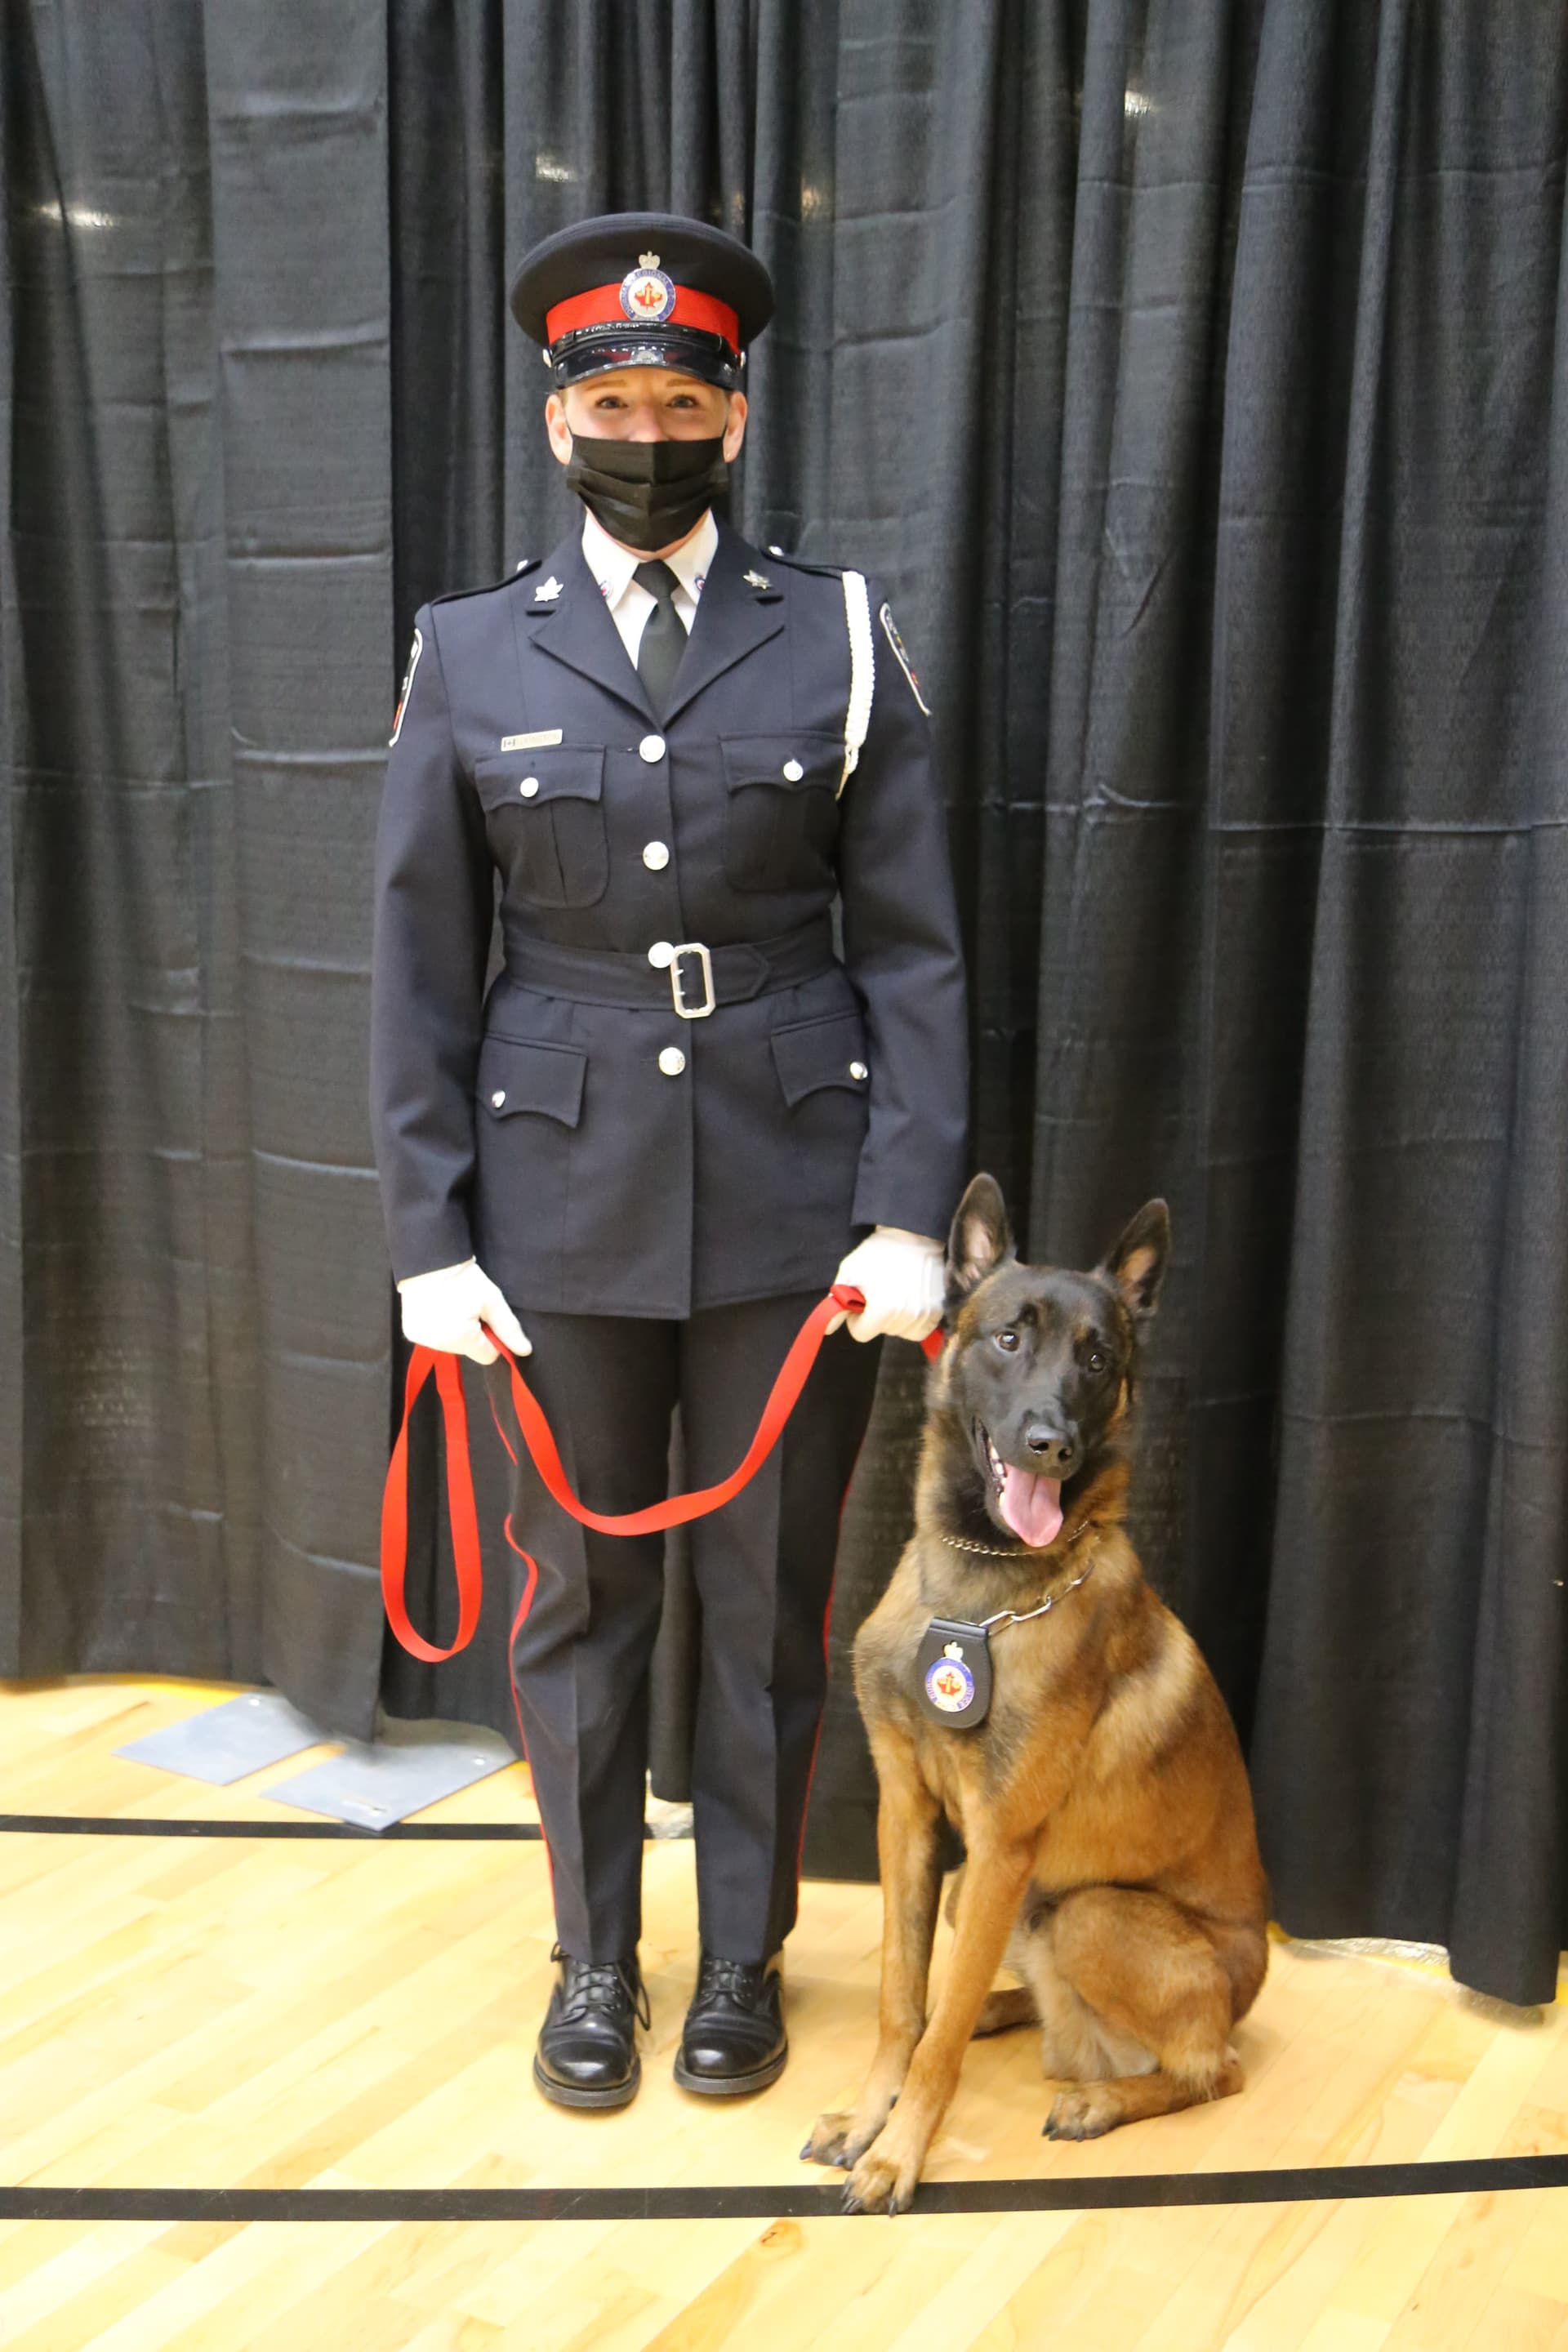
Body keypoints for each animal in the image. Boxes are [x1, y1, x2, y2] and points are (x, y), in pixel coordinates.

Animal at [804, 1185, 1269, 2211]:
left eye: (1097, 1360)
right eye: (1009, 1339)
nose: (1051, 1447)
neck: (983, 1590)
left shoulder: (1001, 1843)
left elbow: (931, 2041)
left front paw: (901, 2152)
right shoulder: (910, 1818)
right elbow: (903, 2004)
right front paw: (869, 2118)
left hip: (1085, 1912)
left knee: (1214, 2070)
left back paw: (1101, 2097)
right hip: (986, 1897)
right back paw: (999, 2009)